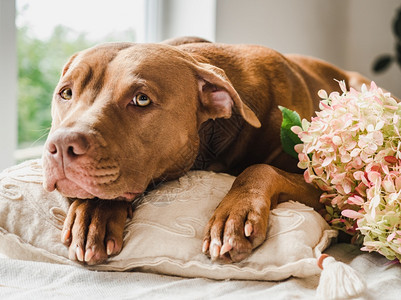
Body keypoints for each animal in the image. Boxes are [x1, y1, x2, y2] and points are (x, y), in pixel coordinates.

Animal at [41, 37, 368, 264]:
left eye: (142, 99)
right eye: (65, 93)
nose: (62, 145)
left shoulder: (330, 193)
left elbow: (259, 168)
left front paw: (234, 216)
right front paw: (94, 213)